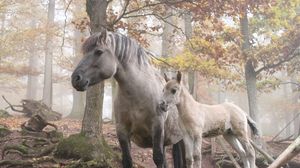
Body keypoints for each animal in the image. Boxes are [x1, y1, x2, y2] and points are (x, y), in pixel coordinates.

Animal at [72, 29, 186, 167]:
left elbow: (158, 158)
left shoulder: (157, 127)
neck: (137, 96)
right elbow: (127, 160)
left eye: (98, 51)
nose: (75, 79)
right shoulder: (122, 130)